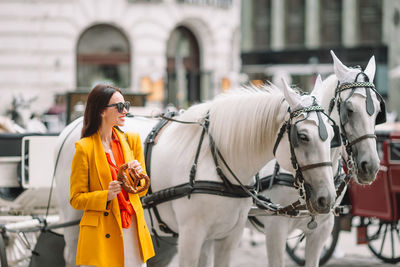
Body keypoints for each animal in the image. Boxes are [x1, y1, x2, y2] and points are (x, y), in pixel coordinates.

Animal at [54, 80, 336, 266]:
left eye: (333, 135)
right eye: (302, 136)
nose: (327, 199)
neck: (217, 162)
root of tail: (75, 124)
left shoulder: (226, 236)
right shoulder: (191, 236)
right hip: (74, 218)